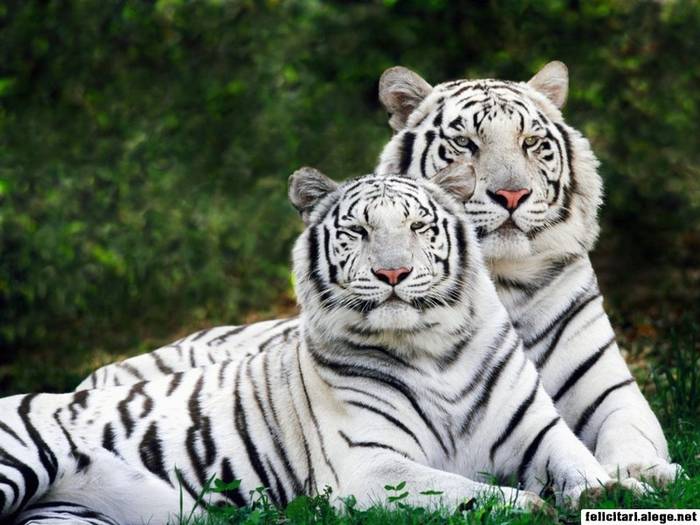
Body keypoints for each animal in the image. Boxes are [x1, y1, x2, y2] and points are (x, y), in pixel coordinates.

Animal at [0, 170, 644, 520]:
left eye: (419, 227)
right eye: (358, 231)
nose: (392, 273)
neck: (433, 349)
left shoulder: (539, 432)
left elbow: (582, 465)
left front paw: (622, 488)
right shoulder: (368, 465)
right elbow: (468, 491)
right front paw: (531, 506)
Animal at [79, 61, 680, 484]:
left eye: (532, 143)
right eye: (465, 143)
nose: (511, 195)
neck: (502, 281)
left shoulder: (610, 390)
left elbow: (632, 433)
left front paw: (645, 473)